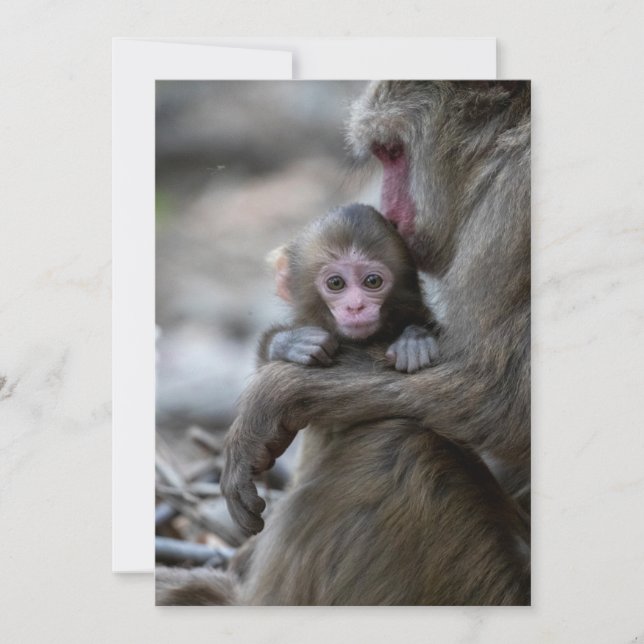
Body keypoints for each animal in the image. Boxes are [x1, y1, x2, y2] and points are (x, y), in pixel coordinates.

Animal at [156, 81, 531, 605]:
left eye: (392, 151)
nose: (389, 208)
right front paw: (289, 348)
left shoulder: (516, 201)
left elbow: (502, 403)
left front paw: (274, 395)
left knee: (396, 446)